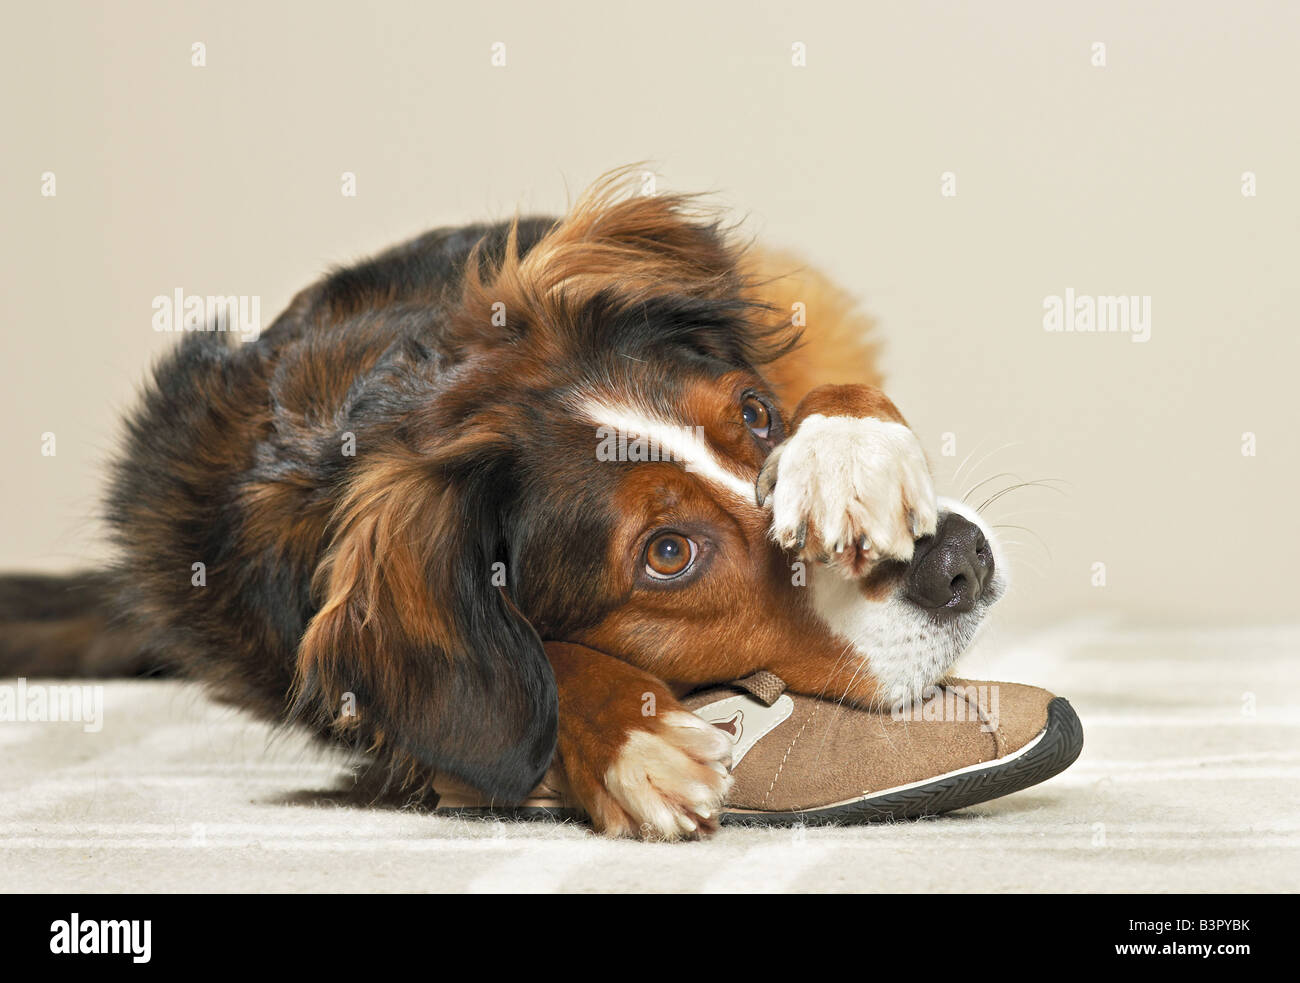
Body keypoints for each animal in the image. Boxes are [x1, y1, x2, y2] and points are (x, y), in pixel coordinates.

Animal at [0, 166, 1003, 837]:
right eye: (667, 553)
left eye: (757, 413)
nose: (959, 560)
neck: (395, 403)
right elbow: (522, 676)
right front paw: (634, 740)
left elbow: (837, 390)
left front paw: (852, 461)